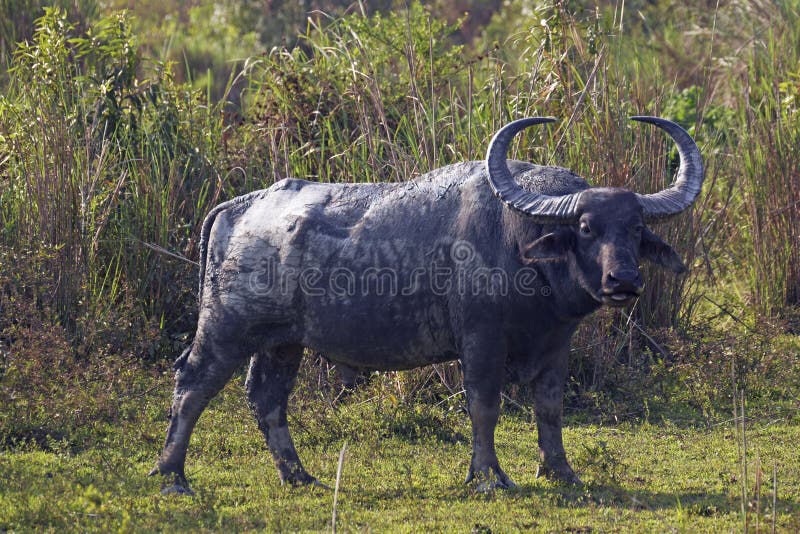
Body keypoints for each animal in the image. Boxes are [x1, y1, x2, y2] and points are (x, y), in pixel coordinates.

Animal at [150, 116, 700, 494]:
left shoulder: (555, 346)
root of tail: (240, 205)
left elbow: (549, 407)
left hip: (282, 342)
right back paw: (173, 476)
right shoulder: (480, 341)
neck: (520, 242)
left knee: (267, 397)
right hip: (225, 327)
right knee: (192, 384)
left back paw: (300, 476)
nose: (623, 279)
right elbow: (484, 405)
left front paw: (560, 471)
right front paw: (488, 476)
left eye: (635, 228)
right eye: (586, 227)